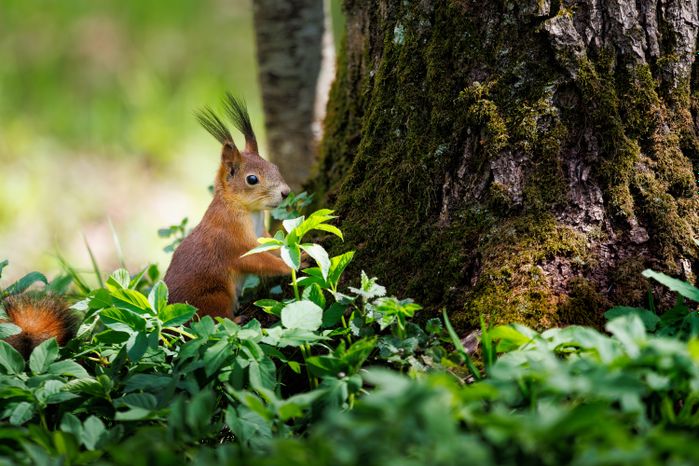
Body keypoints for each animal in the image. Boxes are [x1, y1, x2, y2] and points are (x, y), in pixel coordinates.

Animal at [163, 94, 293, 319]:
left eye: (274, 166)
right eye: (252, 179)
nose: (286, 192)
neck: (251, 213)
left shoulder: (262, 234)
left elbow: (274, 246)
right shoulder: (233, 241)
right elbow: (260, 260)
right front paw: (291, 265)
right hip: (216, 295)